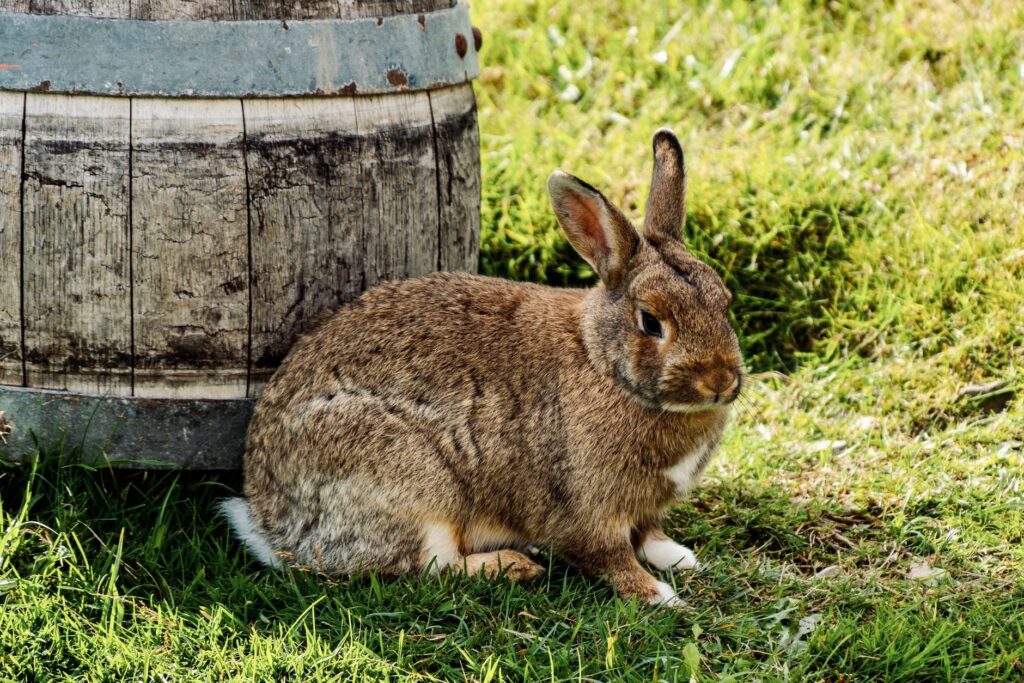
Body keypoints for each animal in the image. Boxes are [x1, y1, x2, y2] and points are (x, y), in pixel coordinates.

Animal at [221, 129, 743, 606]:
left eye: (725, 302)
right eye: (651, 322)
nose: (719, 382)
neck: (604, 363)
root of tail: (271, 525)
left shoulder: (645, 509)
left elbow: (649, 535)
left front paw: (679, 557)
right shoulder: (590, 508)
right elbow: (609, 557)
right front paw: (660, 595)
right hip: (413, 483)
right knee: (432, 566)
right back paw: (514, 565)